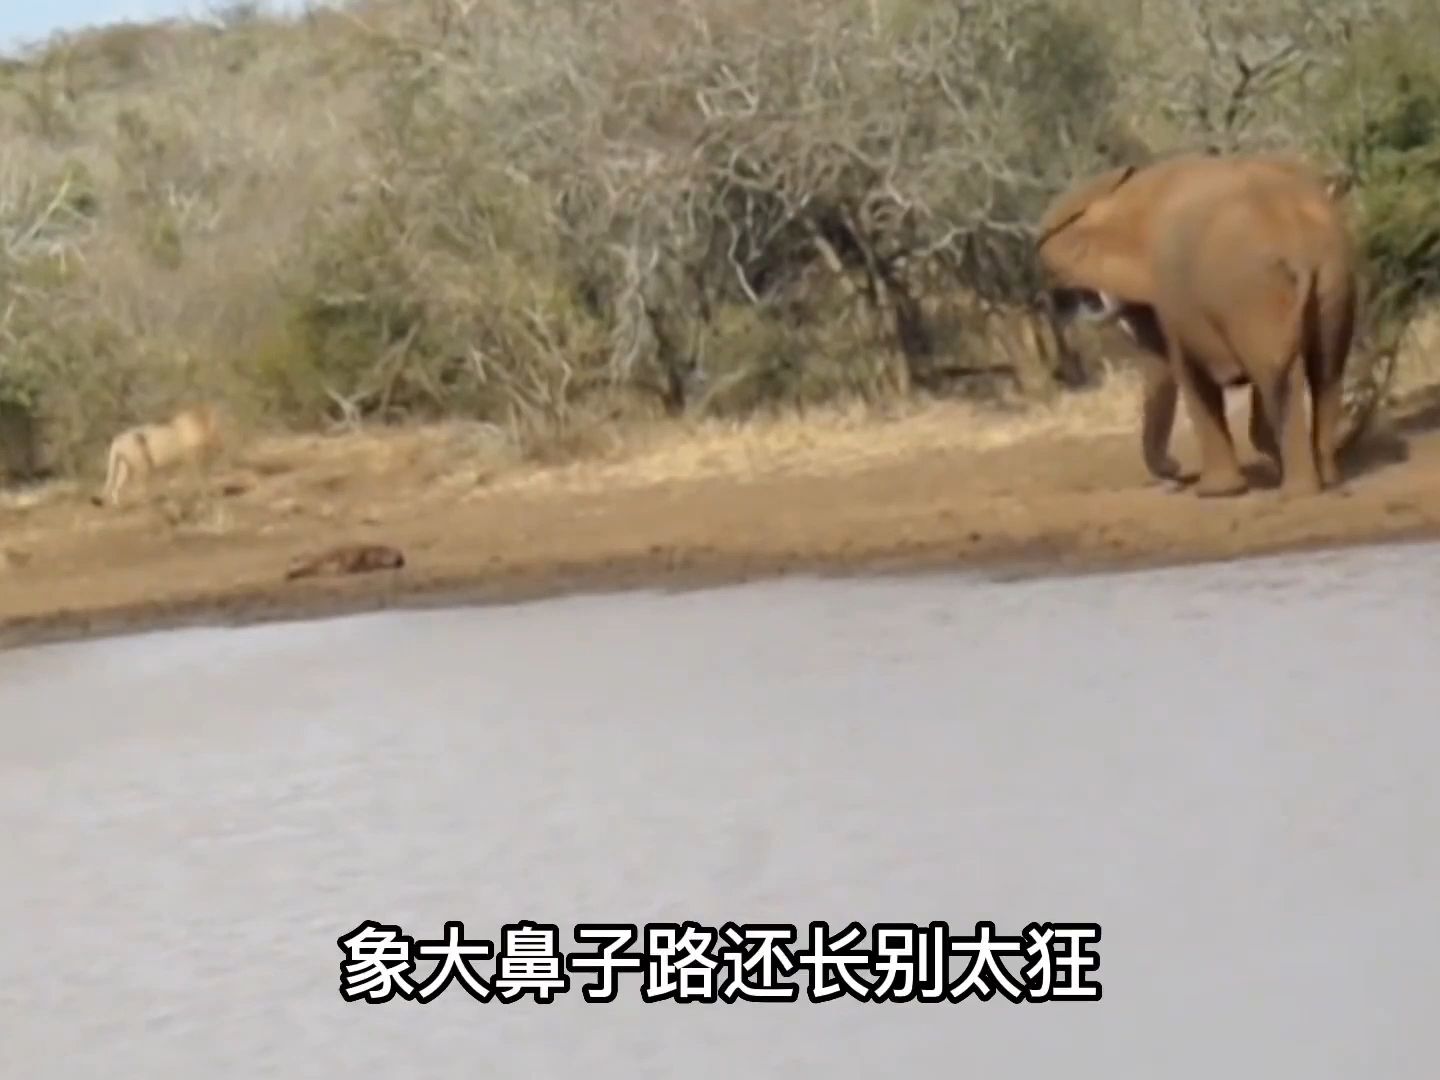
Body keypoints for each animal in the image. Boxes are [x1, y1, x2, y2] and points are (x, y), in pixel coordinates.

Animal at [1033, 152, 1359, 497]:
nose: (1175, 469)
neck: (1122, 189)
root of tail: (1298, 244)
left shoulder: (1171, 296)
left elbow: (1187, 371)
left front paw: (1215, 492)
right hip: (1333, 279)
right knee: (1325, 371)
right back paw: (1327, 478)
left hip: (1252, 293)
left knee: (1276, 373)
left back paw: (1298, 490)